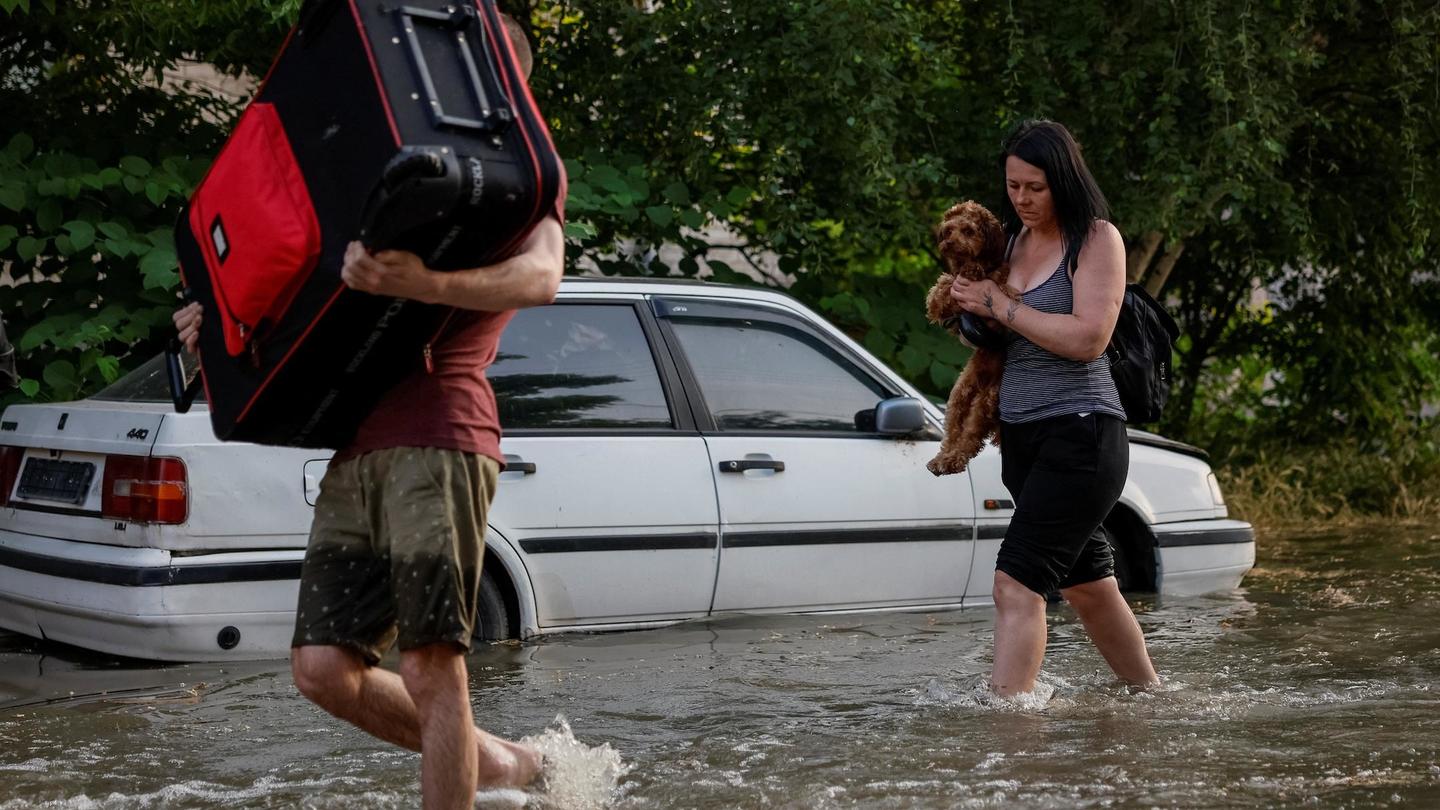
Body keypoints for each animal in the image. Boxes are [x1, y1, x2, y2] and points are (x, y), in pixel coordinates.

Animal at [921, 200, 1013, 472]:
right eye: (949, 230)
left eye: (969, 231)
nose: (949, 243)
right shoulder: (943, 301)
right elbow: (941, 291)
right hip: (960, 394)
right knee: (953, 432)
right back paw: (943, 459)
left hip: (988, 400)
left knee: (971, 437)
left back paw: (953, 459)